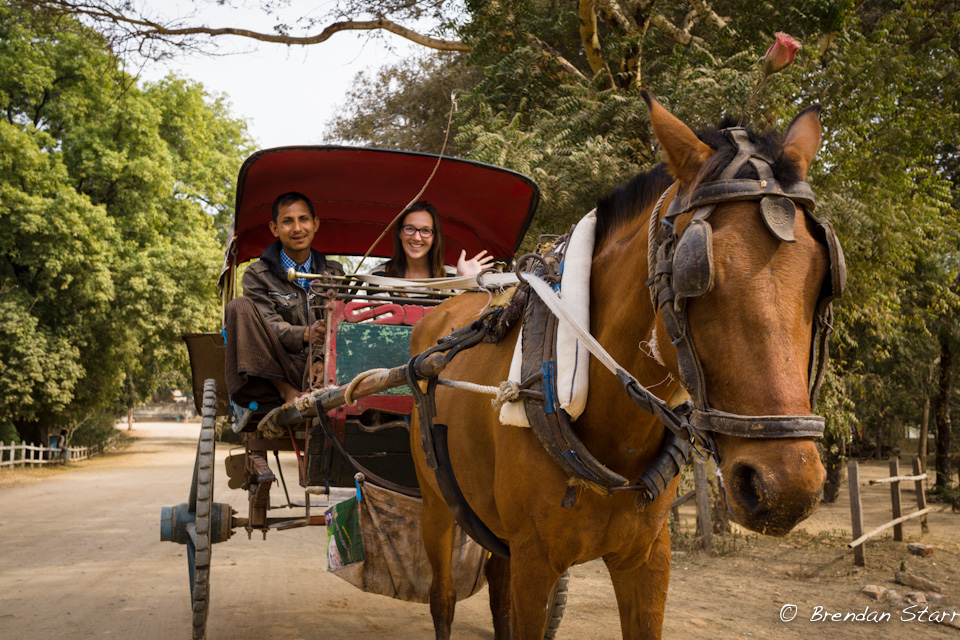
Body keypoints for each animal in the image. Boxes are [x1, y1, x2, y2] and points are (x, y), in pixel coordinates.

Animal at [410, 91, 840, 640]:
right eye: (696, 274)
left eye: (822, 277)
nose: (786, 489)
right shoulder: (535, 560)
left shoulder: (648, 559)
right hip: (437, 505)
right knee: (442, 598)